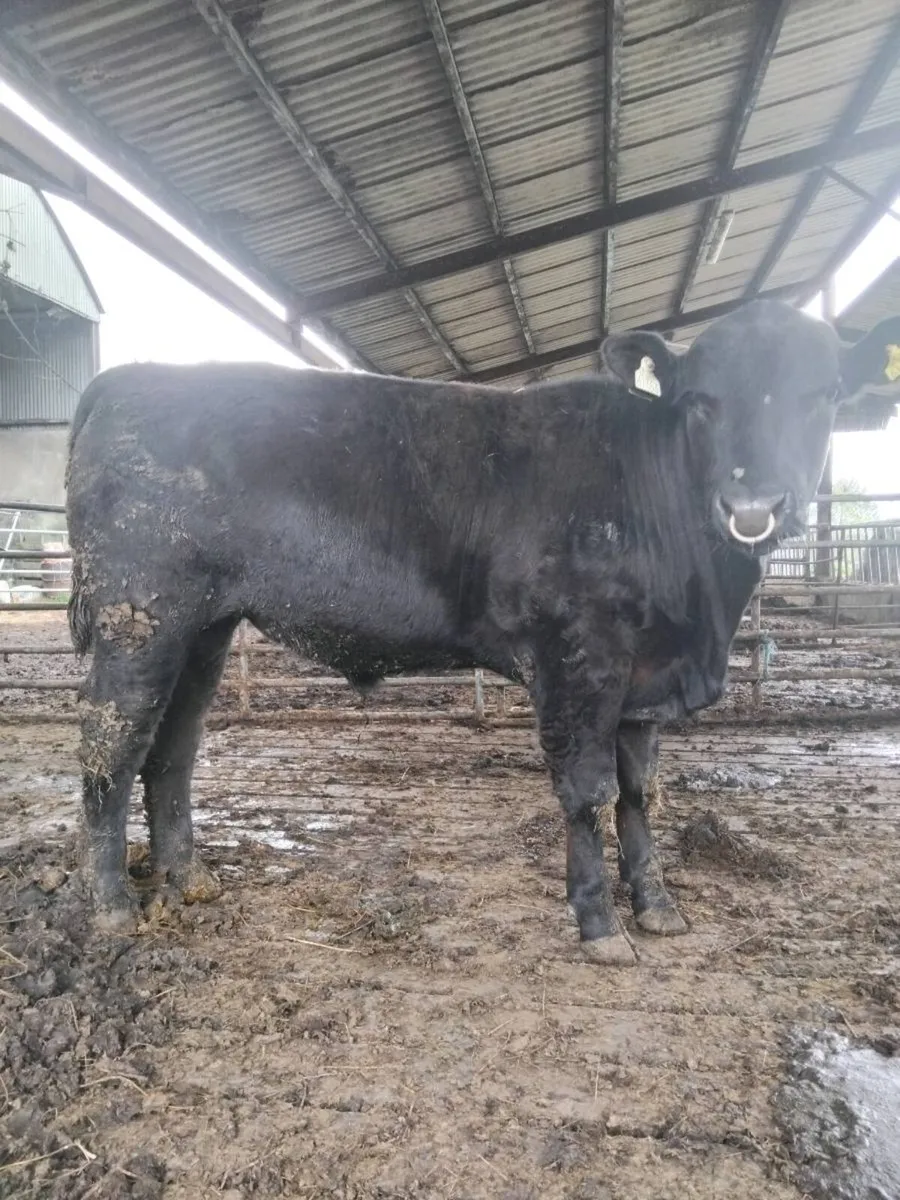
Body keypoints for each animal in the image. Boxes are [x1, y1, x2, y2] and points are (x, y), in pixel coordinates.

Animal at [65, 300, 900, 964]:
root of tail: (127, 379)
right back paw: (111, 908)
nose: (755, 507)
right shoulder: (577, 659)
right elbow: (587, 792)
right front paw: (600, 926)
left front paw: (659, 907)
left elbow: (639, 793)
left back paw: (190, 881)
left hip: (205, 629)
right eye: (700, 400)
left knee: (172, 753)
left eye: (825, 394)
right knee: (111, 748)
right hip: (140, 616)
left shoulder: (644, 680)